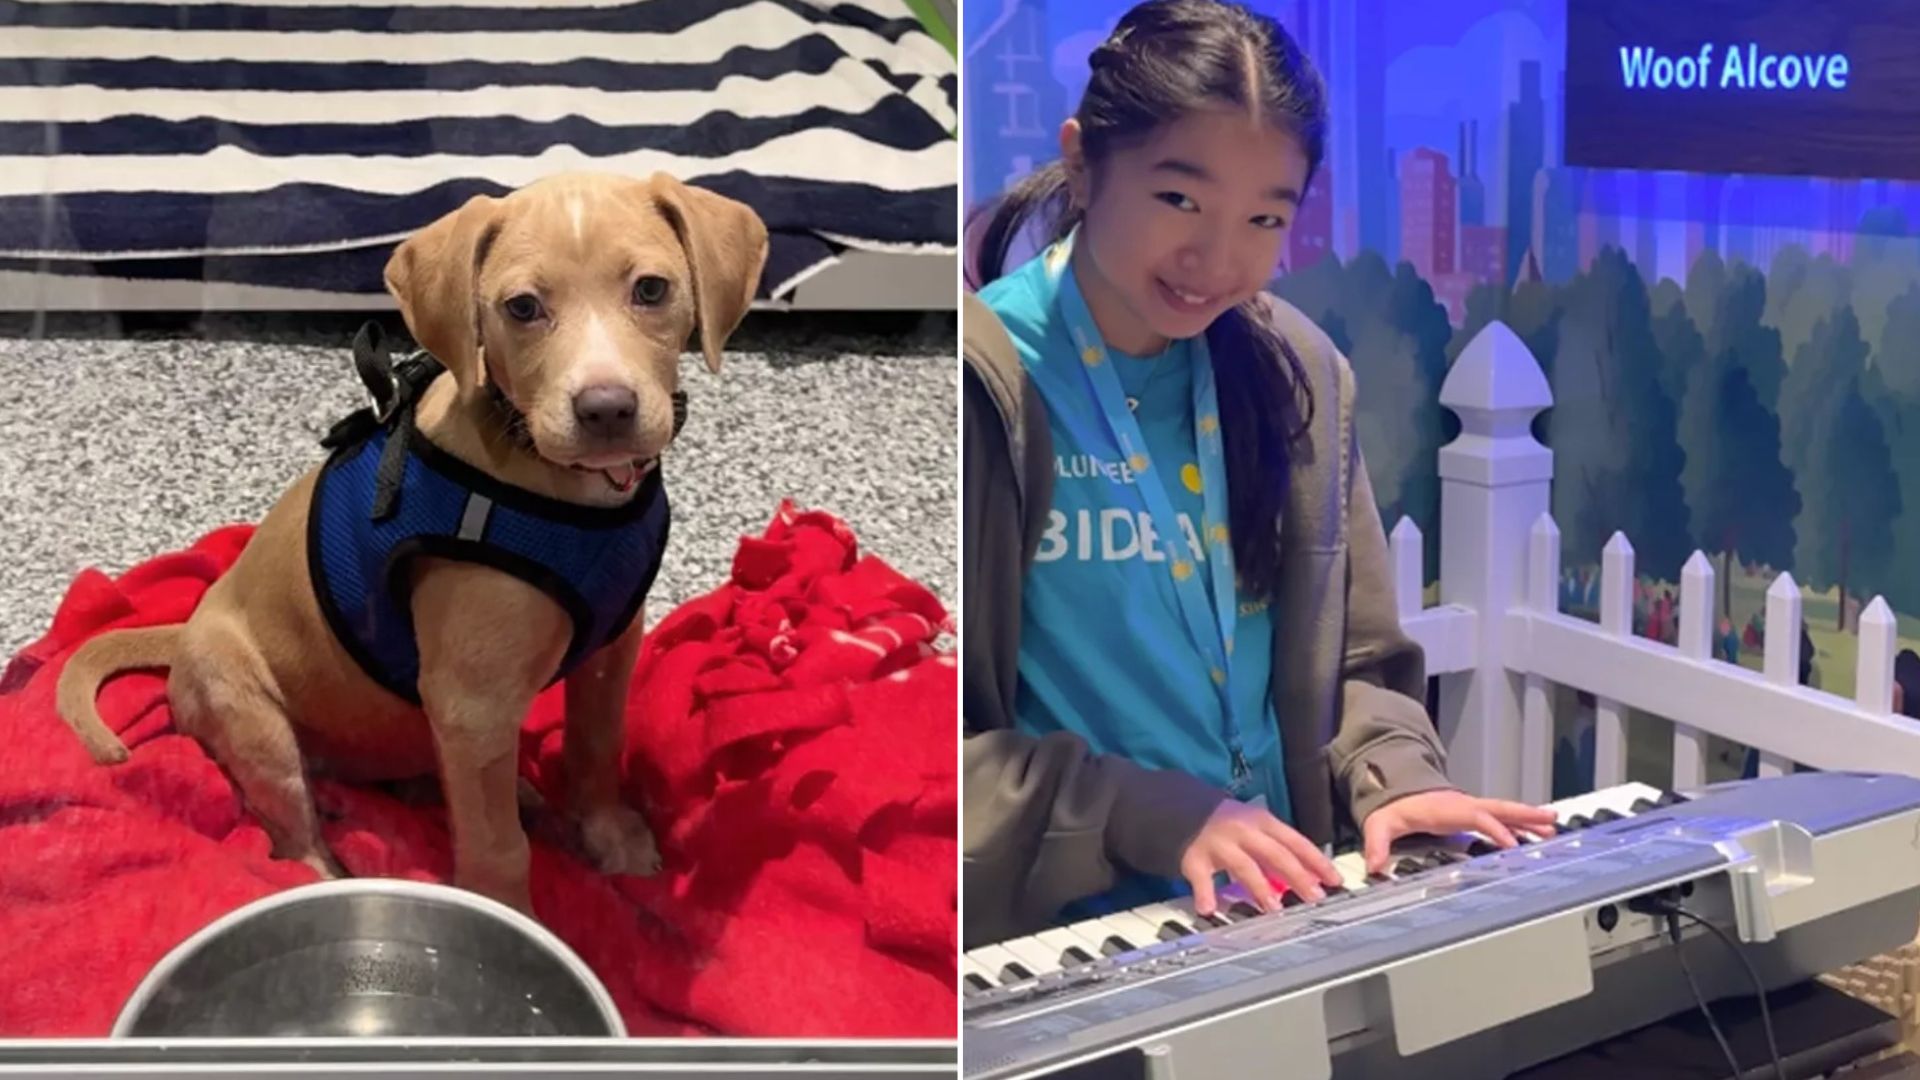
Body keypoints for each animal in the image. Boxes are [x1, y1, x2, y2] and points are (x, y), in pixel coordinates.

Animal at [54, 171, 771, 910]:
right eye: (522, 307)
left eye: (652, 290)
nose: (606, 411)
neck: (564, 491)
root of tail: (185, 631)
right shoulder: (471, 703)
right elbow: (498, 848)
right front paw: (510, 913)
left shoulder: (611, 647)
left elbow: (596, 747)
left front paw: (609, 838)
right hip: (256, 722)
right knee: (294, 834)